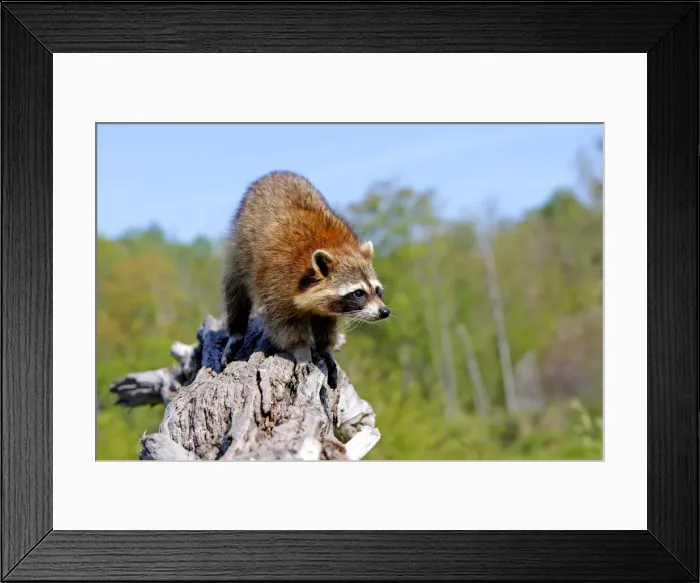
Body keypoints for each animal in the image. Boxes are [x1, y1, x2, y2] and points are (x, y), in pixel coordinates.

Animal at [220, 171, 390, 388]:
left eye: (377, 290)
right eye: (358, 293)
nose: (384, 311)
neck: (335, 247)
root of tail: (277, 173)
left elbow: (326, 323)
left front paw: (325, 348)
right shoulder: (276, 280)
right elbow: (285, 323)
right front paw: (301, 350)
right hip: (239, 248)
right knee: (236, 291)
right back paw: (236, 330)